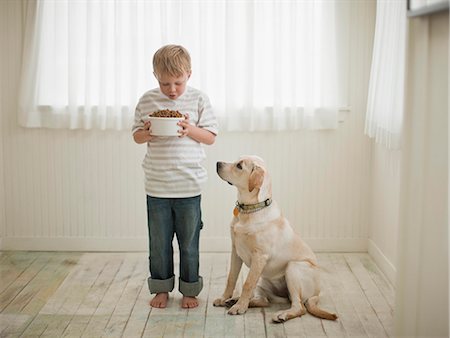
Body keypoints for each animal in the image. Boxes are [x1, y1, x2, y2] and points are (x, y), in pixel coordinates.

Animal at [213, 156, 336, 322]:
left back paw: (281, 314)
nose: (217, 163)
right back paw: (234, 300)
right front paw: (225, 298)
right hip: (263, 280)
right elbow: (231, 278)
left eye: (239, 166)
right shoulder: (235, 252)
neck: (250, 209)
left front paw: (240, 307)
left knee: (299, 307)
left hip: (293, 268)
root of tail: (318, 293)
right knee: (264, 300)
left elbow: (247, 284)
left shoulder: (259, 257)